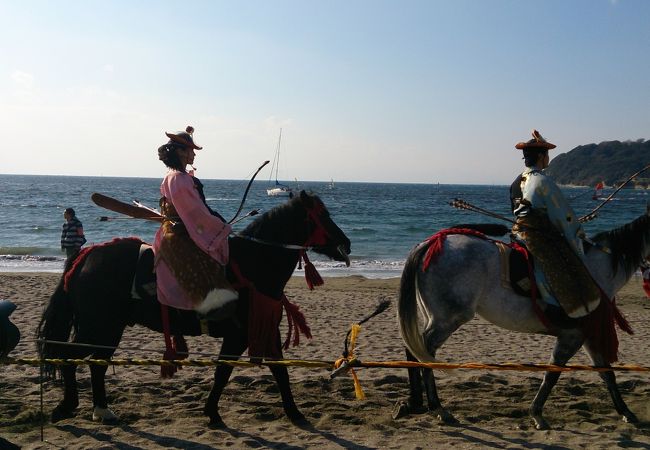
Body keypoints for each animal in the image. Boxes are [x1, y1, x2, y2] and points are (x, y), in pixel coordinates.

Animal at [36, 192, 350, 428]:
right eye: (323, 215)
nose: (346, 243)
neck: (253, 263)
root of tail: (85, 256)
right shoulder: (240, 335)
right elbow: (226, 372)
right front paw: (214, 412)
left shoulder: (264, 331)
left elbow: (277, 370)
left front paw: (292, 411)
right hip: (98, 326)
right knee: (68, 356)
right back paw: (67, 406)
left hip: (108, 330)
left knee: (96, 364)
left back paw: (101, 409)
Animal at [394, 206, 648, 428]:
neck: (594, 270)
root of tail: (430, 243)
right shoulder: (572, 336)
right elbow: (553, 374)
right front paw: (537, 414)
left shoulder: (587, 336)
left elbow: (607, 374)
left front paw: (626, 412)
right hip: (449, 319)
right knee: (424, 351)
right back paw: (438, 408)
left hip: (436, 317)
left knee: (414, 348)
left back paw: (415, 403)